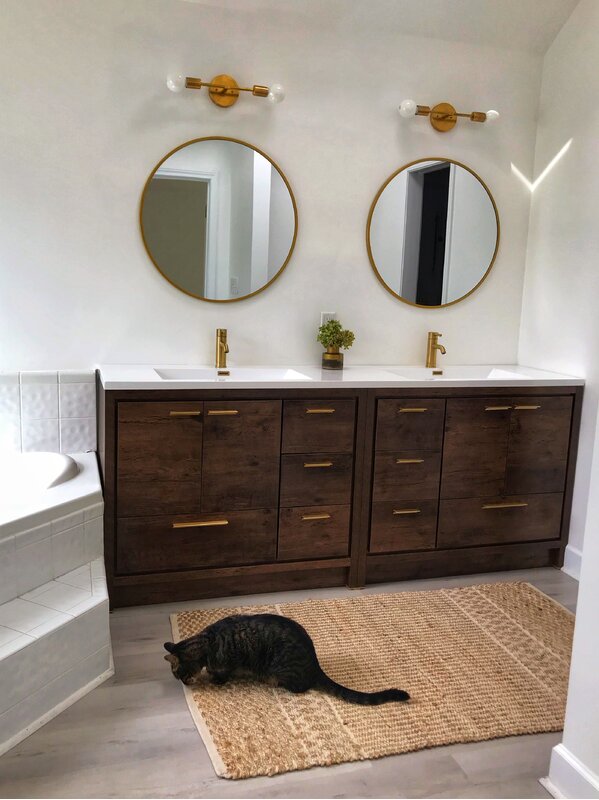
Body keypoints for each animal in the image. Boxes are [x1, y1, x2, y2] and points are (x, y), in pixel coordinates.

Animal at [164, 612, 410, 708]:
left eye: (178, 673)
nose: (183, 683)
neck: (208, 642)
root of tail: (315, 665)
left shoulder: (229, 663)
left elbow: (223, 673)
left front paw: (216, 679)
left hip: (281, 668)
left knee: (299, 687)